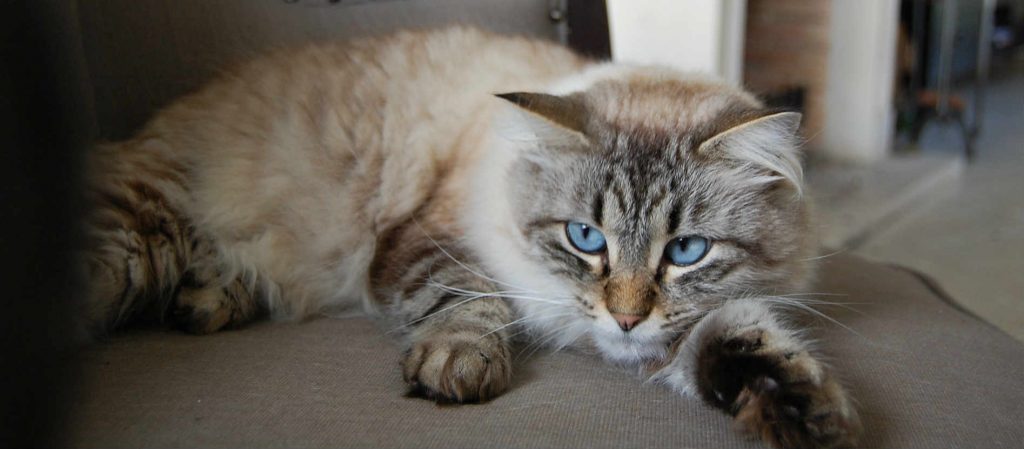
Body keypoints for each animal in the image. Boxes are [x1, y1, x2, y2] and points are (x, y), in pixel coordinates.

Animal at [79, 26, 860, 446]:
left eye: (685, 251)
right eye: (586, 238)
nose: (626, 318)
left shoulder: (677, 329)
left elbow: (736, 337)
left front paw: (803, 408)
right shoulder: (431, 242)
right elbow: (466, 299)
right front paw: (459, 366)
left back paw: (208, 299)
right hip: (135, 237)